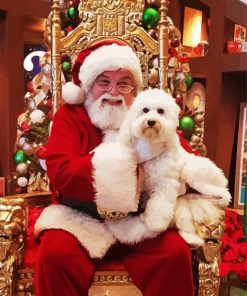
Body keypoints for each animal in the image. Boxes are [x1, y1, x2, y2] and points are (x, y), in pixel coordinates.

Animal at [107, 89, 232, 246]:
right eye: (145, 110)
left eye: (161, 111)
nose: (151, 121)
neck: (151, 143)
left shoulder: (164, 183)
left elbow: (160, 204)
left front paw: (155, 222)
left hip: (194, 174)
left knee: (222, 194)